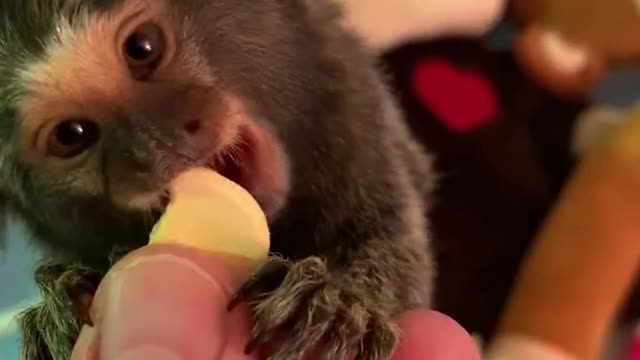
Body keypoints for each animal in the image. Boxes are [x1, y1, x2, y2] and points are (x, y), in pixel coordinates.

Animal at [0, 0, 436, 360]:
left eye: (142, 47)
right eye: (71, 135)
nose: (152, 145)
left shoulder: (356, 113)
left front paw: (339, 298)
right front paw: (59, 297)